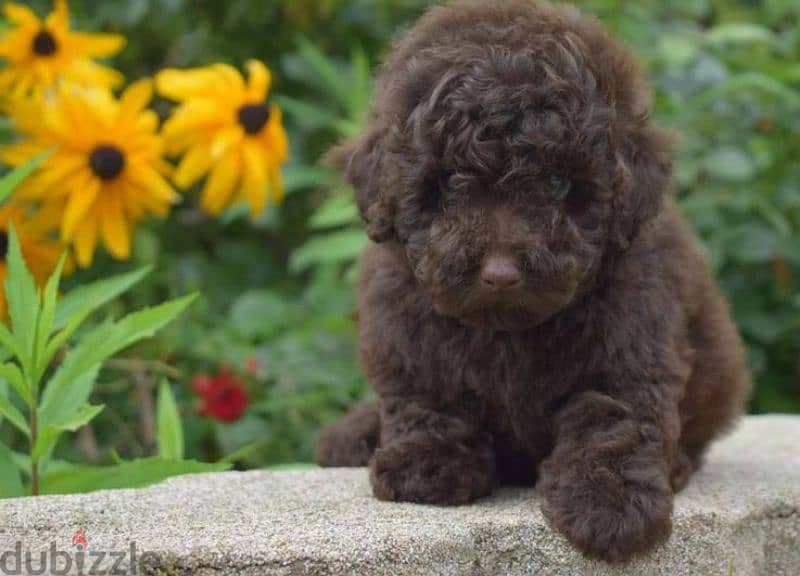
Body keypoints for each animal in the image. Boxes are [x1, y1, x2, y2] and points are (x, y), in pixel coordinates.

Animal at [318, 0, 752, 564]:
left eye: (557, 183)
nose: (500, 273)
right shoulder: (406, 330)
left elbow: (613, 421)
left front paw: (611, 503)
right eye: (452, 182)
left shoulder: (630, 344)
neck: (507, 331)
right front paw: (426, 462)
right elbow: (430, 396)